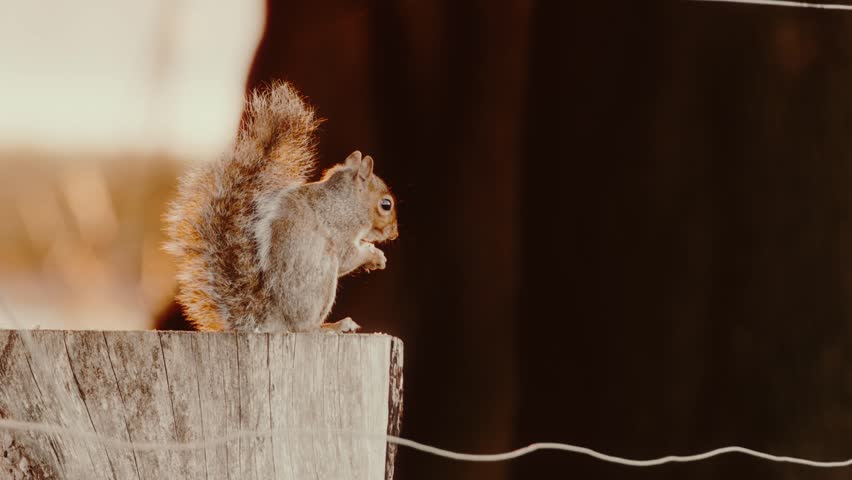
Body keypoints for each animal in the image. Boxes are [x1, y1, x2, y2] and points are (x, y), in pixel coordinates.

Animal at [164, 82, 398, 333]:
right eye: (386, 204)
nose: (394, 233)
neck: (347, 200)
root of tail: (274, 320)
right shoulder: (340, 227)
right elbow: (349, 256)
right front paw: (373, 255)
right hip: (322, 277)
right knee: (304, 327)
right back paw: (333, 326)